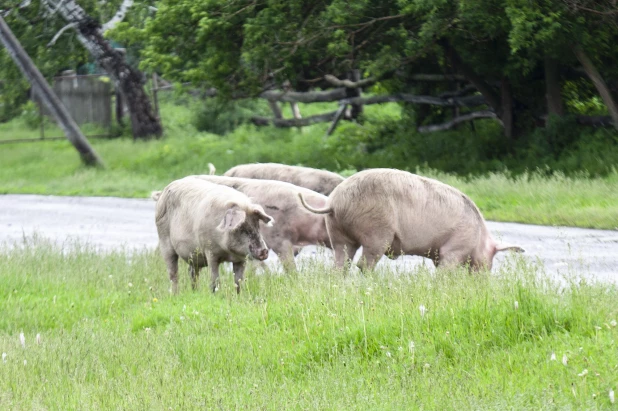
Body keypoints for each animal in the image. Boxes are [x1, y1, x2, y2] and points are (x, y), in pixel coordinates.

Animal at [296, 169, 524, 272]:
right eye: (491, 259)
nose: (482, 282)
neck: (478, 237)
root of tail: (334, 201)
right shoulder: (453, 248)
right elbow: (446, 271)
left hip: (338, 233)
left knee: (341, 263)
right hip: (376, 231)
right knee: (364, 264)